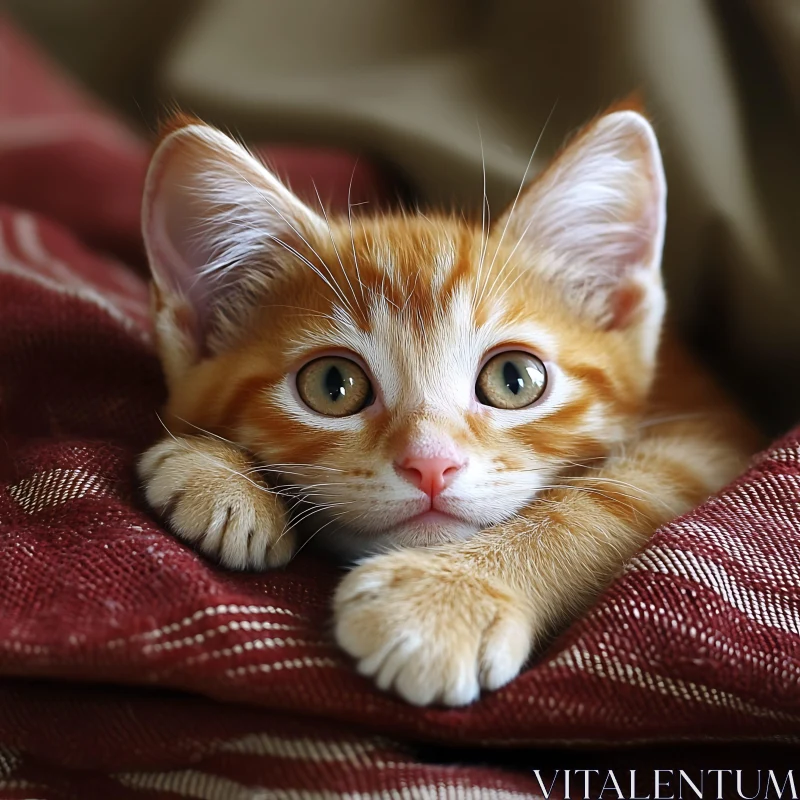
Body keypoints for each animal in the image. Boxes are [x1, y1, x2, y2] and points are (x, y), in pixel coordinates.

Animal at [136, 106, 756, 708]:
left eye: (514, 379)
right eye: (333, 385)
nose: (430, 463)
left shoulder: (709, 433)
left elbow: (617, 494)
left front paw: (446, 599)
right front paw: (217, 472)